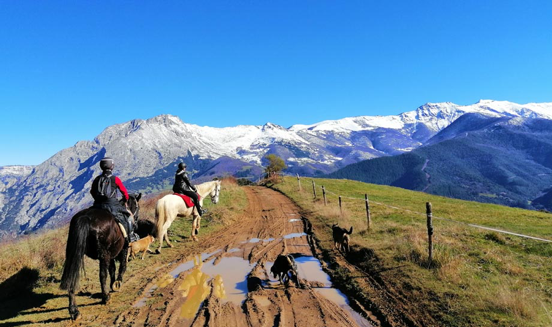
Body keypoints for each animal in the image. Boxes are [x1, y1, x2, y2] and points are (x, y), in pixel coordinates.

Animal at [60, 193, 141, 322]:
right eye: (137, 206)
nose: (136, 223)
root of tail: (86, 217)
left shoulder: (111, 253)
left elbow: (112, 269)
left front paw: (113, 284)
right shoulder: (123, 249)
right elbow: (122, 266)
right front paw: (118, 283)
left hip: (75, 252)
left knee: (71, 276)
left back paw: (74, 311)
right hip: (103, 254)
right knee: (102, 275)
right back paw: (105, 297)